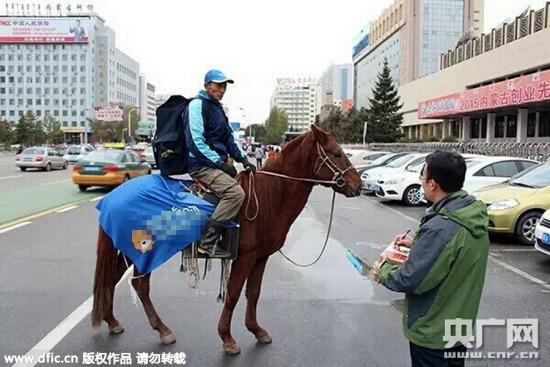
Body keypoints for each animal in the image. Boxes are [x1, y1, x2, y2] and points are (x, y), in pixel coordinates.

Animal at [92, 125, 364, 356]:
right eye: (337, 153)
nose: (358, 184)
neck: (270, 196)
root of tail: (115, 195)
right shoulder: (245, 256)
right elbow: (233, 293)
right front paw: (227, 338)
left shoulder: (260, 257)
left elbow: (253, 293)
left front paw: (256, 330)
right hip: (144, 250)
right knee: (140, 285)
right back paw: (162, 329)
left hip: (127, 250)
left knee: (111, 279)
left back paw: (112, 321)